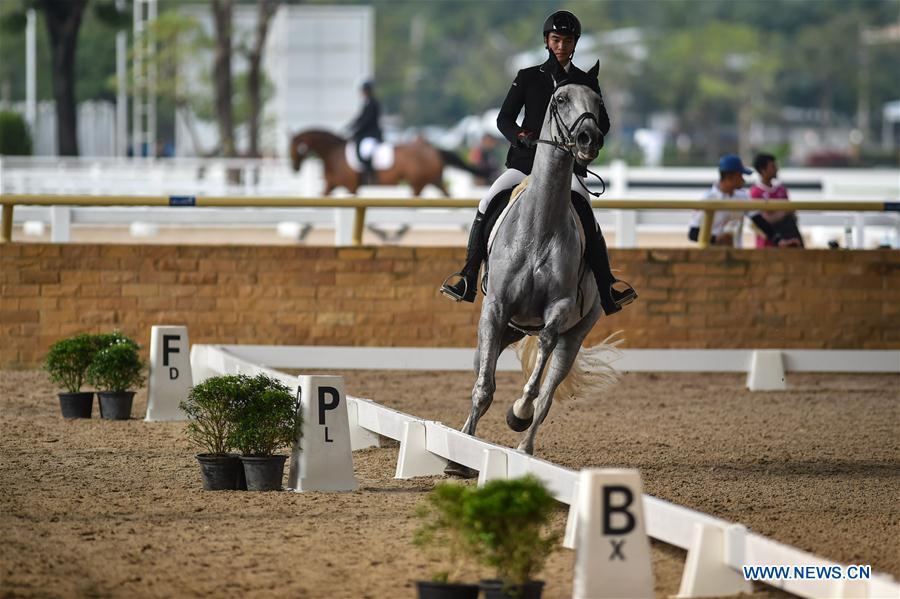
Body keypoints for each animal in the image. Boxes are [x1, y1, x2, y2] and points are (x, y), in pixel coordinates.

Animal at [288, 129, 486, 197]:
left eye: (292, 148)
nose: (294, 169)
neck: (333, 153)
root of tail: (433, 149)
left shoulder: (351, 186)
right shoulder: (331, 185)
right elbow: (321, 196)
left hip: (418, 183)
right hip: (433, 180)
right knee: (447, 194)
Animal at [442, 76, 620, 478]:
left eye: (599, 102)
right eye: (560, 99)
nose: (589, 139)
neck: (540, 227)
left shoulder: (558, 311)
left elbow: (538, 378)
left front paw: (517, 413)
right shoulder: (496, 309)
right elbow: (483, 387)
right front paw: (460, 456)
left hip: (574, 336)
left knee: (548, 394)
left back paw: (525, 447)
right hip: (502, 329)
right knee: (482, 373)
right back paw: (464, 440)